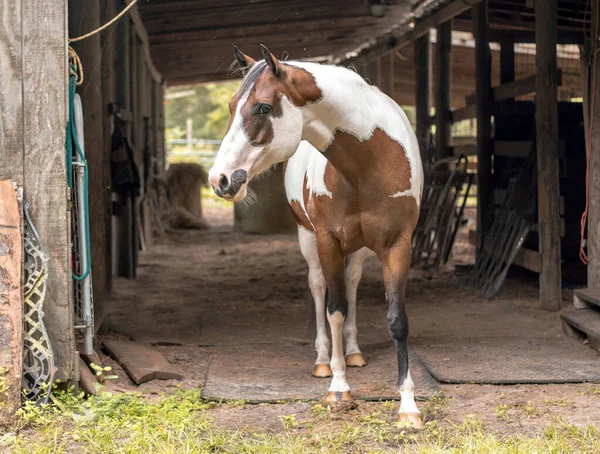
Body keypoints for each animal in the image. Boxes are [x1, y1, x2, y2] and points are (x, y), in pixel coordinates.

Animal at [209, 47, 424, 430]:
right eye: (232, 106)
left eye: (263, 108)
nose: (218, 179)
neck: (368, 164)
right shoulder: (327, 240)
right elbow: (334, 309)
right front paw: (339, 388)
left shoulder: (398, 244)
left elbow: (397, 320)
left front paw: (408, 406)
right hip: (309, 240)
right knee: (318, 288)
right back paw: (325, 360)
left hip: (359, 250)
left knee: (351, 284)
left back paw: (353, 353)